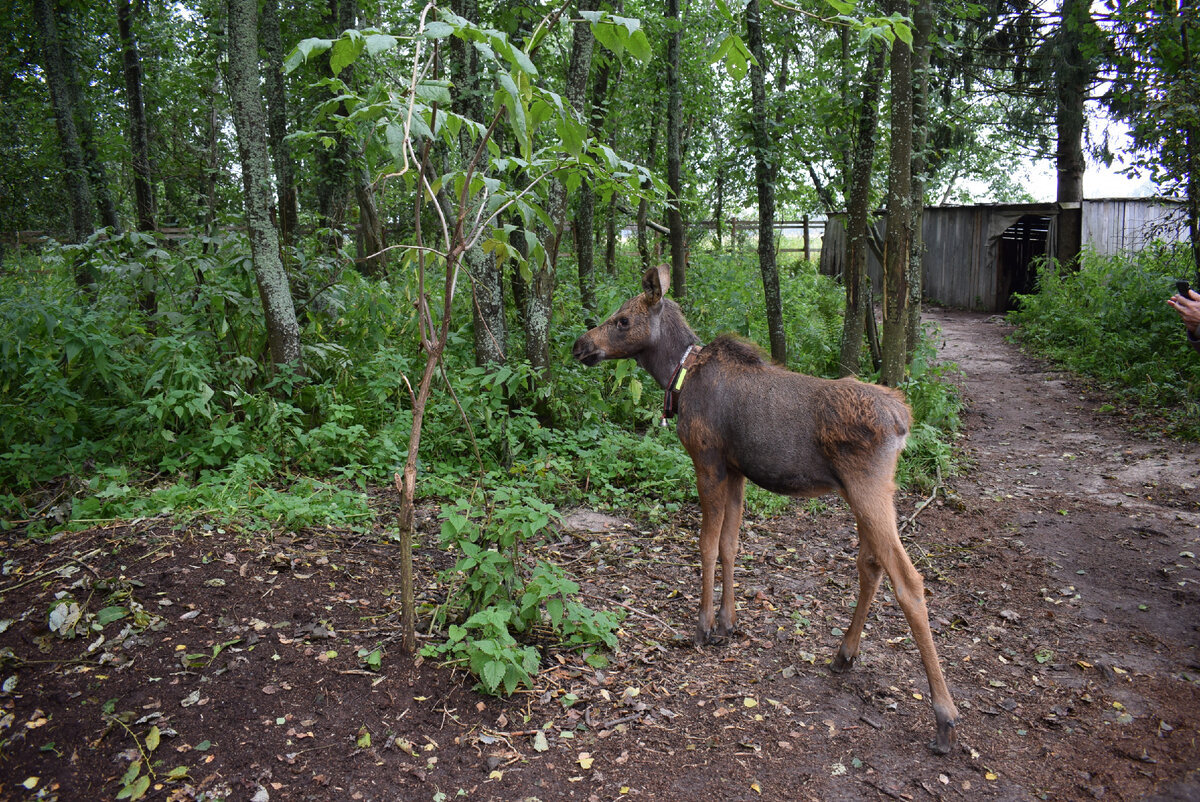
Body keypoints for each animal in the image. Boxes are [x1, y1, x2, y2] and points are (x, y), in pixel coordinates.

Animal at [576, 262, 960, 753]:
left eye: (623, 320)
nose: (581, 344)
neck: (675, 377)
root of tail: (903, 422)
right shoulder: (736, 470)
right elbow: (730, 545)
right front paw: (728, 622)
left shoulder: (708, 460)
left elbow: (705, 545)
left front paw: (703, 626)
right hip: (870, 493)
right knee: (870, 564)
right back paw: (844, 653)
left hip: (867, 488)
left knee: (908, 580)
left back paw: (944, 716)